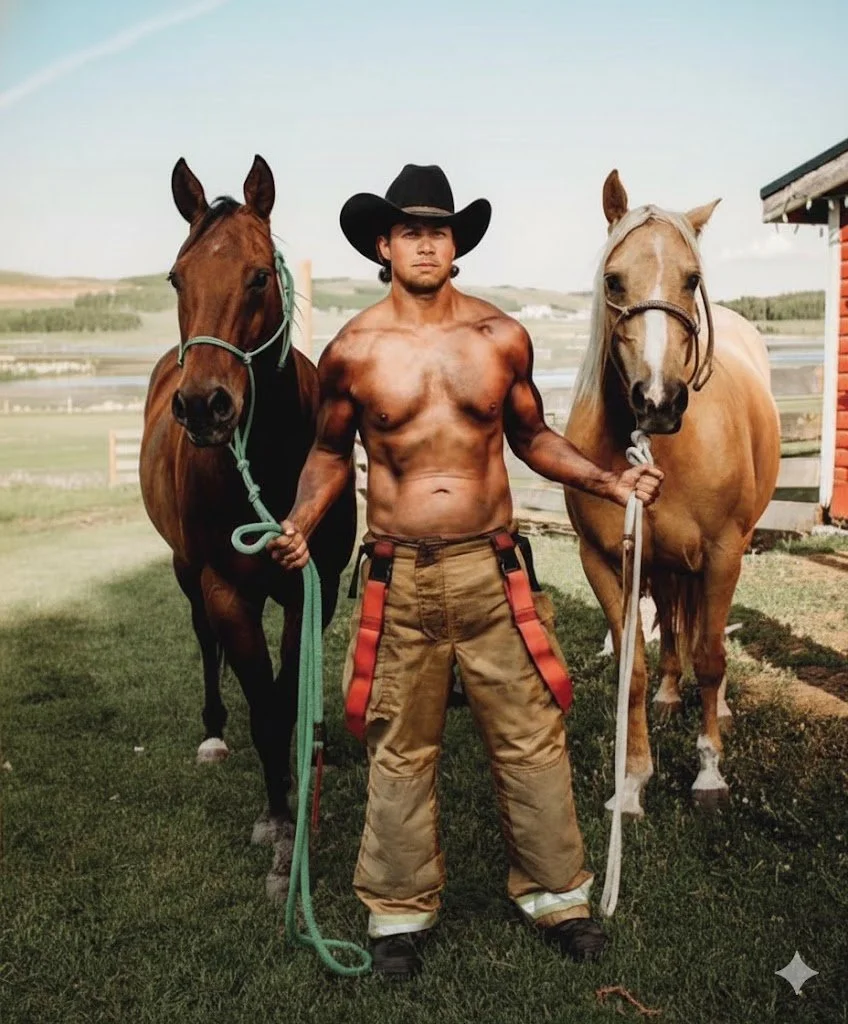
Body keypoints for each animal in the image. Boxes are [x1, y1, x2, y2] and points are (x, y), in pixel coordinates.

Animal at [140, 154, 357, 897]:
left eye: (259, 275)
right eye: (176, 277)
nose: (205, 405)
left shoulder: (310, 586)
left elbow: (287, 697)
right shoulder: (225, 589)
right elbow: (262, 709)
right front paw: (279, 823)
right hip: (186, 572)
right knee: (205, 645)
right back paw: (213, 732)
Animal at [563, 169, 780, 815]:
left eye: (692, 280)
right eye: (613, 279)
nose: (658, 401)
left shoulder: (722, 553)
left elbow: (709, 657)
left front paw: (709, 771)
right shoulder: (607, 559)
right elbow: (631, 666)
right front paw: (633, 781)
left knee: (707, 638)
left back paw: (722, 709)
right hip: (661, 562)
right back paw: (666, 694)